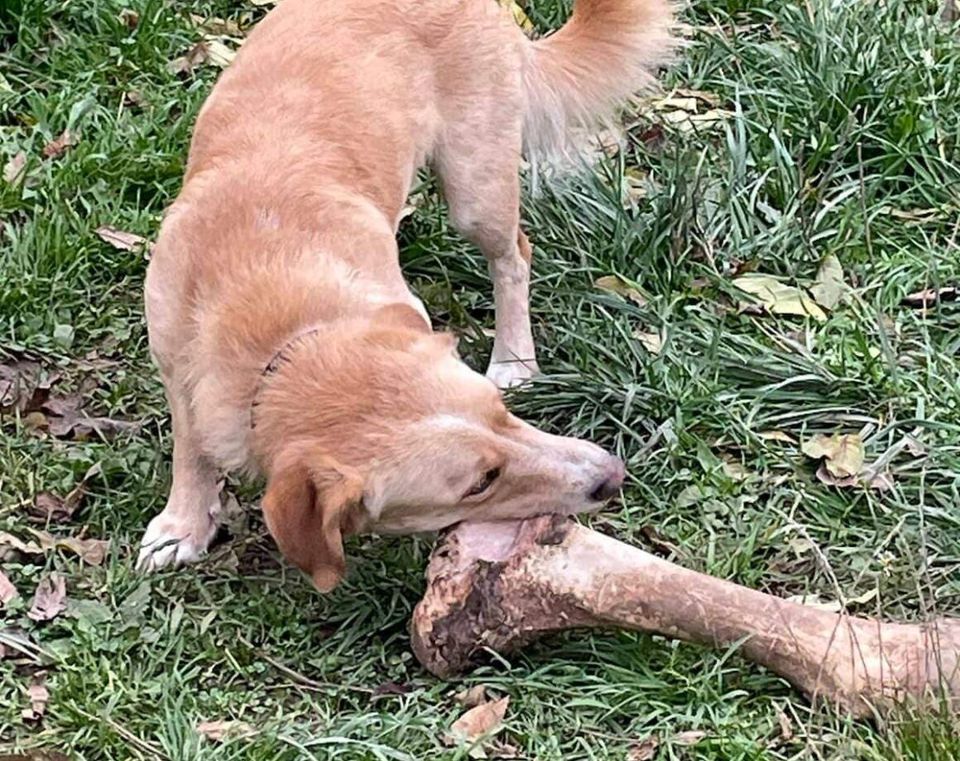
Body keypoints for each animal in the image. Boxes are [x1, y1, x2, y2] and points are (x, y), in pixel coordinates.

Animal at [141, 0, 676, 592]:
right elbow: (190, 445)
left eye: (500, 413)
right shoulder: (174, 362)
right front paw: (184, 522)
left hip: (476, 187)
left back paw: (513, 357)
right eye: (481, 481)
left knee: (514, 256)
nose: (613, 476)